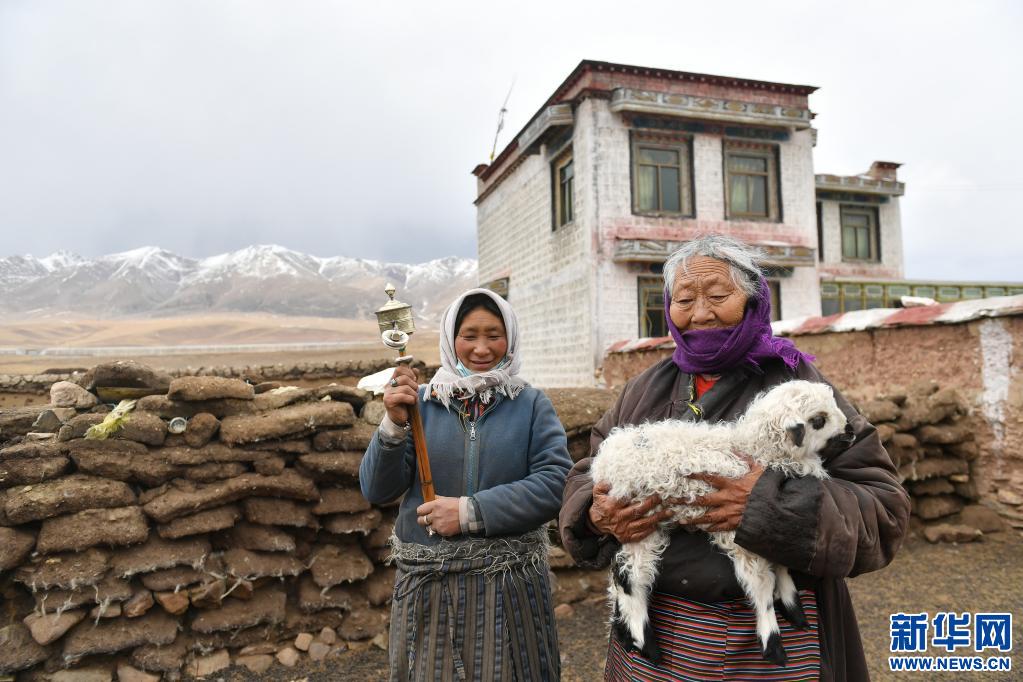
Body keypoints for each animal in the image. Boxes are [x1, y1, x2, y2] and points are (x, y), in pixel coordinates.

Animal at [590, 379, 855, 666]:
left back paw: (625, 633)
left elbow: (781, 564)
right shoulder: (739, 535)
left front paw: (792, 607)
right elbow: (762, 585)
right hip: (640, 517)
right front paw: (772, 642)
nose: (851, 431)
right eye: (818, 420)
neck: (755, 450)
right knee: (629, 576)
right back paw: (645, 642)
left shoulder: (766, 527)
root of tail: (604, 458)